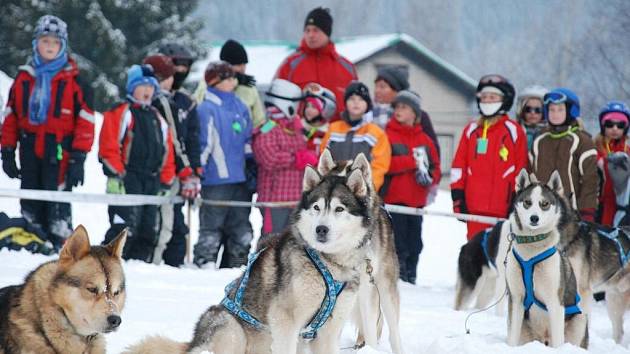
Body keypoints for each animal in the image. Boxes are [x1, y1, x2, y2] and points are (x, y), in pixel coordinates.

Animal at [126, 161, 378, 354]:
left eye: (339, 209)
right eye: (317, 207)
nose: (321, 229)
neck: (328, 265)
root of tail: (192, 342)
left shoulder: (329, 329)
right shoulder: (285, 322)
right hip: (228, 325)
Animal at [506, 171, 592, 348]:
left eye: (544, 204)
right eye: (527, 202)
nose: (534, 218)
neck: (531, 251)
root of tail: (543, 340)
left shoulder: (555, 301)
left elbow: (559, 340)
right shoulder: (516, 299)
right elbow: (512, 337)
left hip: (580, 319)